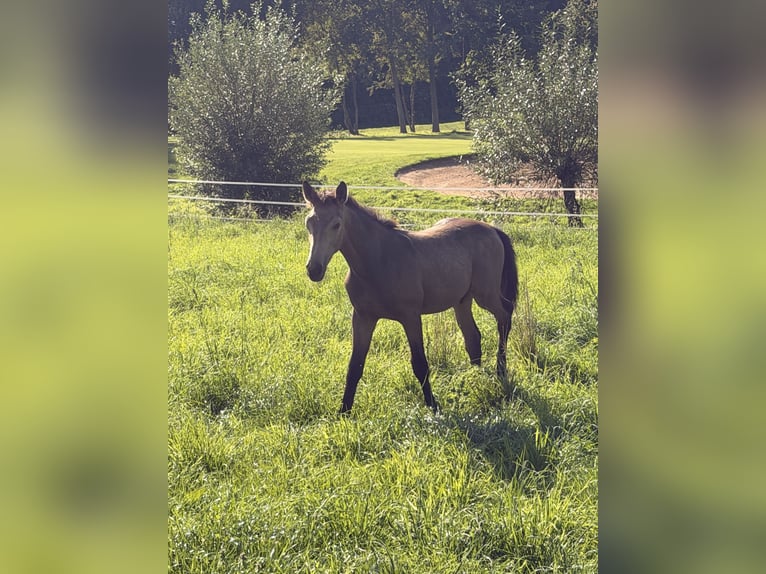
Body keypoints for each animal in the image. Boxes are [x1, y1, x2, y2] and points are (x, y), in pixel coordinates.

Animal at [301, 181, 518, 414]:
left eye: (337, 224)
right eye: (309, 222)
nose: (314, 269)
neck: (378, 262)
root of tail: (492, 229)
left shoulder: (411, 317)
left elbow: (420, 364)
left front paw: (433, 407)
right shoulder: (362, 317)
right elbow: (355, 365)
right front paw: (343, 411)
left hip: (486, 295)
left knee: (504, 317)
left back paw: (500, 371)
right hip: (462, 301)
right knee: (473, 337)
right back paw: (474, 377)